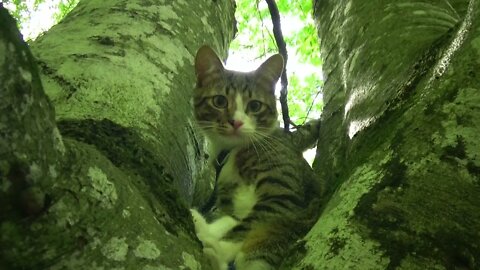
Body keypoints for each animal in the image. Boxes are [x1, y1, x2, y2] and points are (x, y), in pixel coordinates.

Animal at [191, 46, 322, 270]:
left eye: (254, 106)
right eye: (219, 101)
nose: (236, 122)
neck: (233, 152)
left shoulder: (283, 192)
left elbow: (248, 225)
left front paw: (219, 248)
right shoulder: (228, 199)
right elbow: (229, 220)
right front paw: (203, 226)